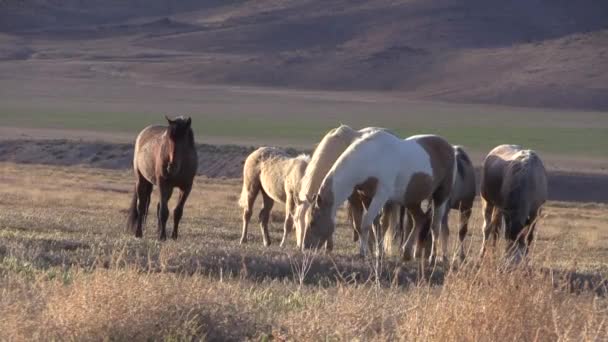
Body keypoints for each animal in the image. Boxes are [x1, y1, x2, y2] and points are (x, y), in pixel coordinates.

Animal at [294, 125, 390, 254]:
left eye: (311, 222)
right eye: (295, 221)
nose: (302, 247)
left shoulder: (352, 197)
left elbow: (358, 225)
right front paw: (328, 247)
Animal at [302, 130, 454, 264]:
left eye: (312, 222)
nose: (305, 246)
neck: (372, 158)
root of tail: (448, 146)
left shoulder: (380, 196)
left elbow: (366, 224)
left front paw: (362, 253)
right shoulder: (366, 197)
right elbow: (374, 225)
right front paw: (378, 253)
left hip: (441, 196)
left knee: (435, 226)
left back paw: (432, 258)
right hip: (411, 200)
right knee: (419, 219)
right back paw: (406, 253)